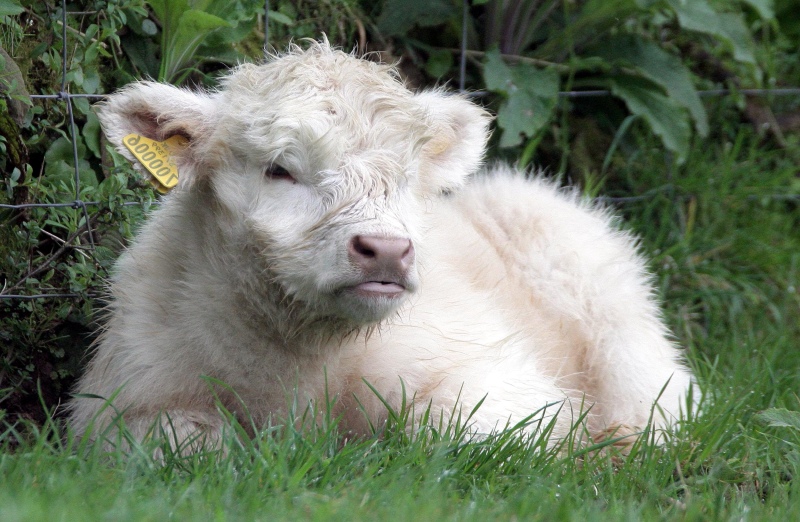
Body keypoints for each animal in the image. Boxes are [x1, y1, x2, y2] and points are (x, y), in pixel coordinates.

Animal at [68, 40, 696, 452]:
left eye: (404, 177)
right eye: (279, 169)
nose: (388, 250)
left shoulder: (504, 379)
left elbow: (444, 429)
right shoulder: (116, 406)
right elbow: (186, 442)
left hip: (622, 335)